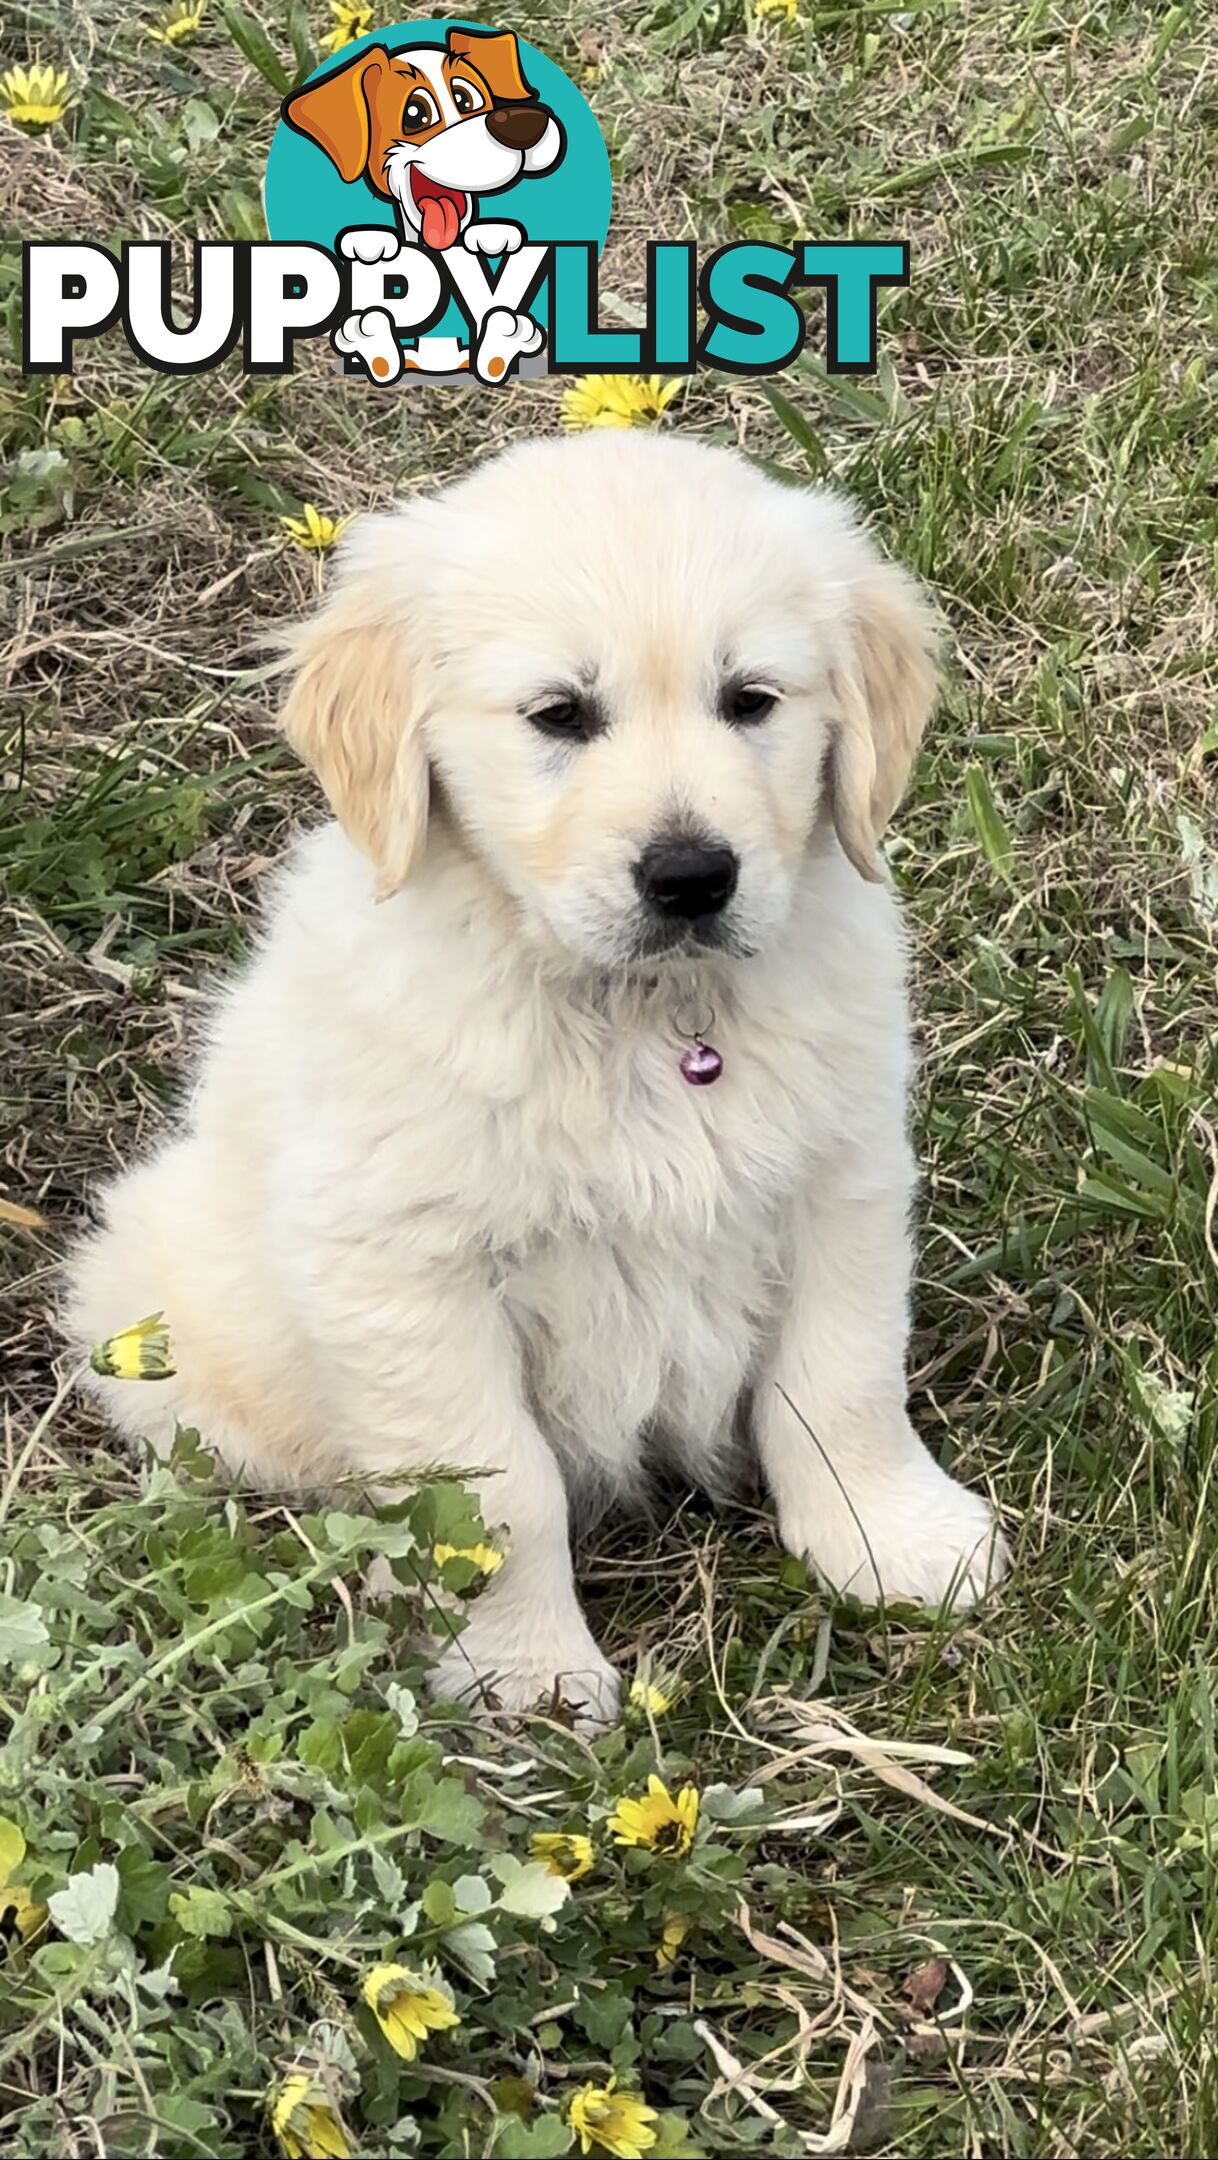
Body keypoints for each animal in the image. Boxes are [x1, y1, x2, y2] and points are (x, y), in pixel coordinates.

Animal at [71, 434, 1015, 1719]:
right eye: (560, 715)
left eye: (751, 701)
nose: (691, 876)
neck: (644, 1017)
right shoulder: (408, 1271)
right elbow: (498, 1494)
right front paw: (525, 1674)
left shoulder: (842, 1183)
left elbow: (842, 1380)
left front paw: (891, 1539)